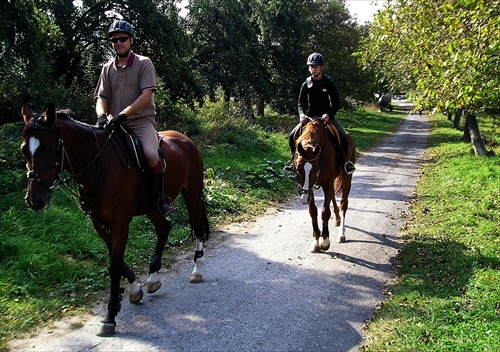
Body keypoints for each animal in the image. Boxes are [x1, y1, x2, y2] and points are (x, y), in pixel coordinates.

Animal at [21, 104, 209, 336]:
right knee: (164, 228)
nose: (35, 200)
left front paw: (110, 316)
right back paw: (153, 277)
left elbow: (114, 266)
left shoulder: (120, 222)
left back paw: (197, 271)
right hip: (152, 206)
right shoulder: (100, 223)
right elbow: (117, 262)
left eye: (48, 149)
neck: (98, 166)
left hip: (192, 193)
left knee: (197, 227)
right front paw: (134, 290)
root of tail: (185, 140)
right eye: (24, 149)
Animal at [292, 118, 356, 253]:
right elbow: (313, 211)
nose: (304, 199)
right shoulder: (309, 187)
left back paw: (341, 233)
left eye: (315, 169)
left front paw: (325, 241)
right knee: (332, 196)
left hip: (346, 177)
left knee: (343, 204)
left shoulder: (327, 182)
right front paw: (316, 241)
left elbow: (325, 212)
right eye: (297, 169)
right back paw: (337, 218)